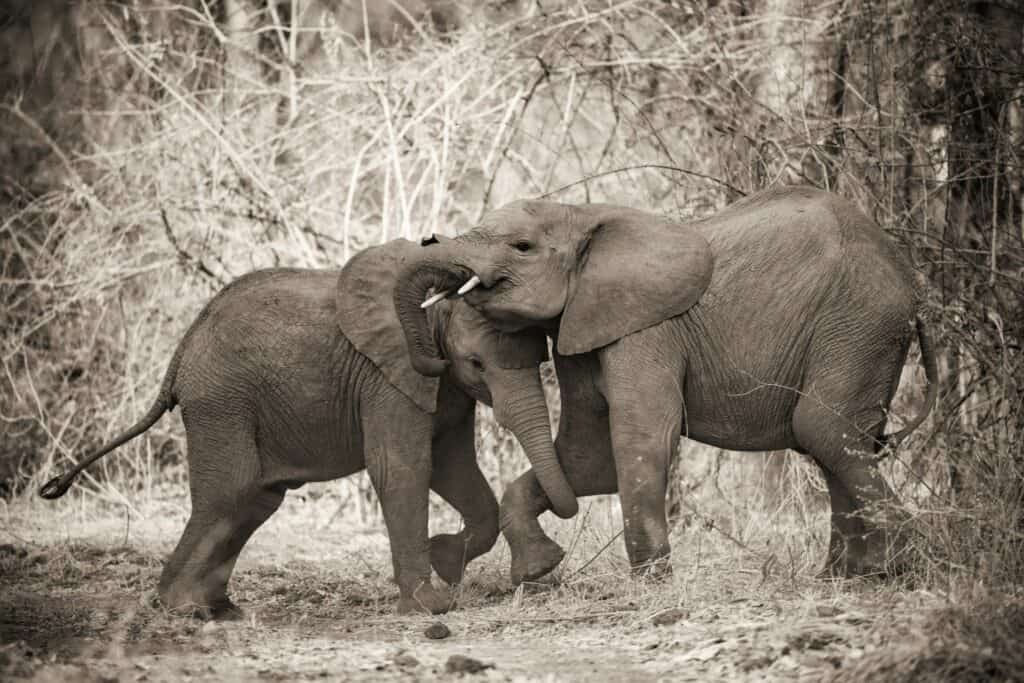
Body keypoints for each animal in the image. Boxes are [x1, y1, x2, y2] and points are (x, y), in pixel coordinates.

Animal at [39, 238, 577, 618]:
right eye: (476, 363)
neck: (427, 310)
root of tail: (180, 354)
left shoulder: (439, 388)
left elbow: (453, 466)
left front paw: (447, 558)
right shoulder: (388, 375)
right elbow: (403, 467)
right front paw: (432, 605)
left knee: (254, 500)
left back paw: (217, 610)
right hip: (221, 402)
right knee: (231, 493)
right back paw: (184, 609)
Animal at [392, 185, 939, 583]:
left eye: (521, 247)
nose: (428, 241)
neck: (582, 215)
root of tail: (914, 287)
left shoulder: (646, 328)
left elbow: (639, 437)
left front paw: (650, 581)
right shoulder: (584, 323)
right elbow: (586, 457)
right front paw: (539, 570)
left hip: (858, 323)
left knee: (821, 428)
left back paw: (896, 569)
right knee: (835, 441)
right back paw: (845, 577)